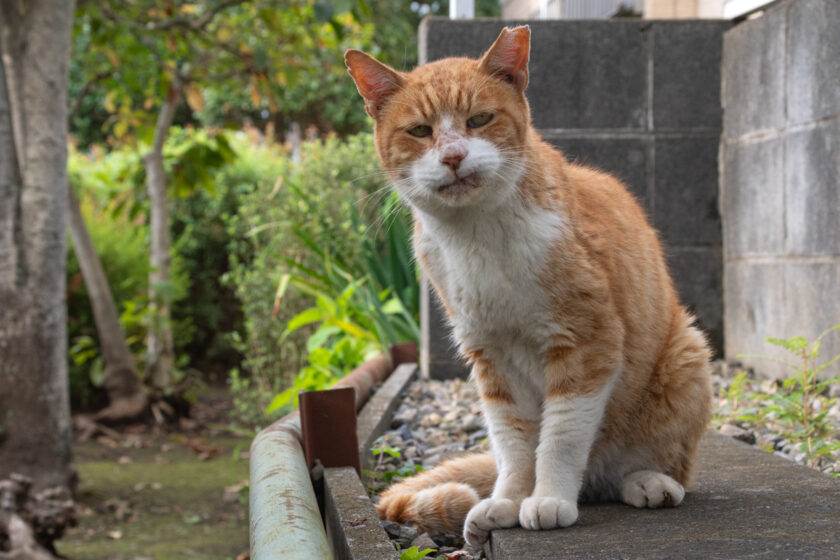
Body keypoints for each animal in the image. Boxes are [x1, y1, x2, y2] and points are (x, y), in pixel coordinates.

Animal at [344, 26, 712, 548]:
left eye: (479, 119)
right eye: (420, 131)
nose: (453, 156)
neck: (476, 237)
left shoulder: (586, 340)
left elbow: (561, 436)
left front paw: (549, 498)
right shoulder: (490, 357)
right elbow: (515, 443)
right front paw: (509, 501)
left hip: (686, 353)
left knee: (660, 467)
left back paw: (647, 481)